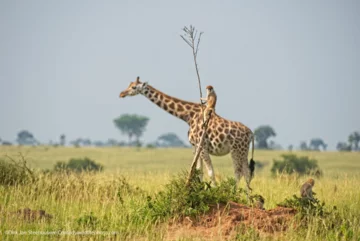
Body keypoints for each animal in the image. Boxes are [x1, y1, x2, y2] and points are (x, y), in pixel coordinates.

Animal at [119, 77, 255, 190]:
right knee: (247, 172)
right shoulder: (195, 146)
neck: (188, 116)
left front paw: (215, 192)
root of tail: (251, 133)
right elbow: (199, 171)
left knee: (238, 172)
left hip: (236, 150)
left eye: (134, 87)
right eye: (129, 84)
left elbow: (210, 172)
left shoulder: (202, 146)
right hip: (243, 151)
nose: (121, 94)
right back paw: (248, 197)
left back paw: (234, 194)